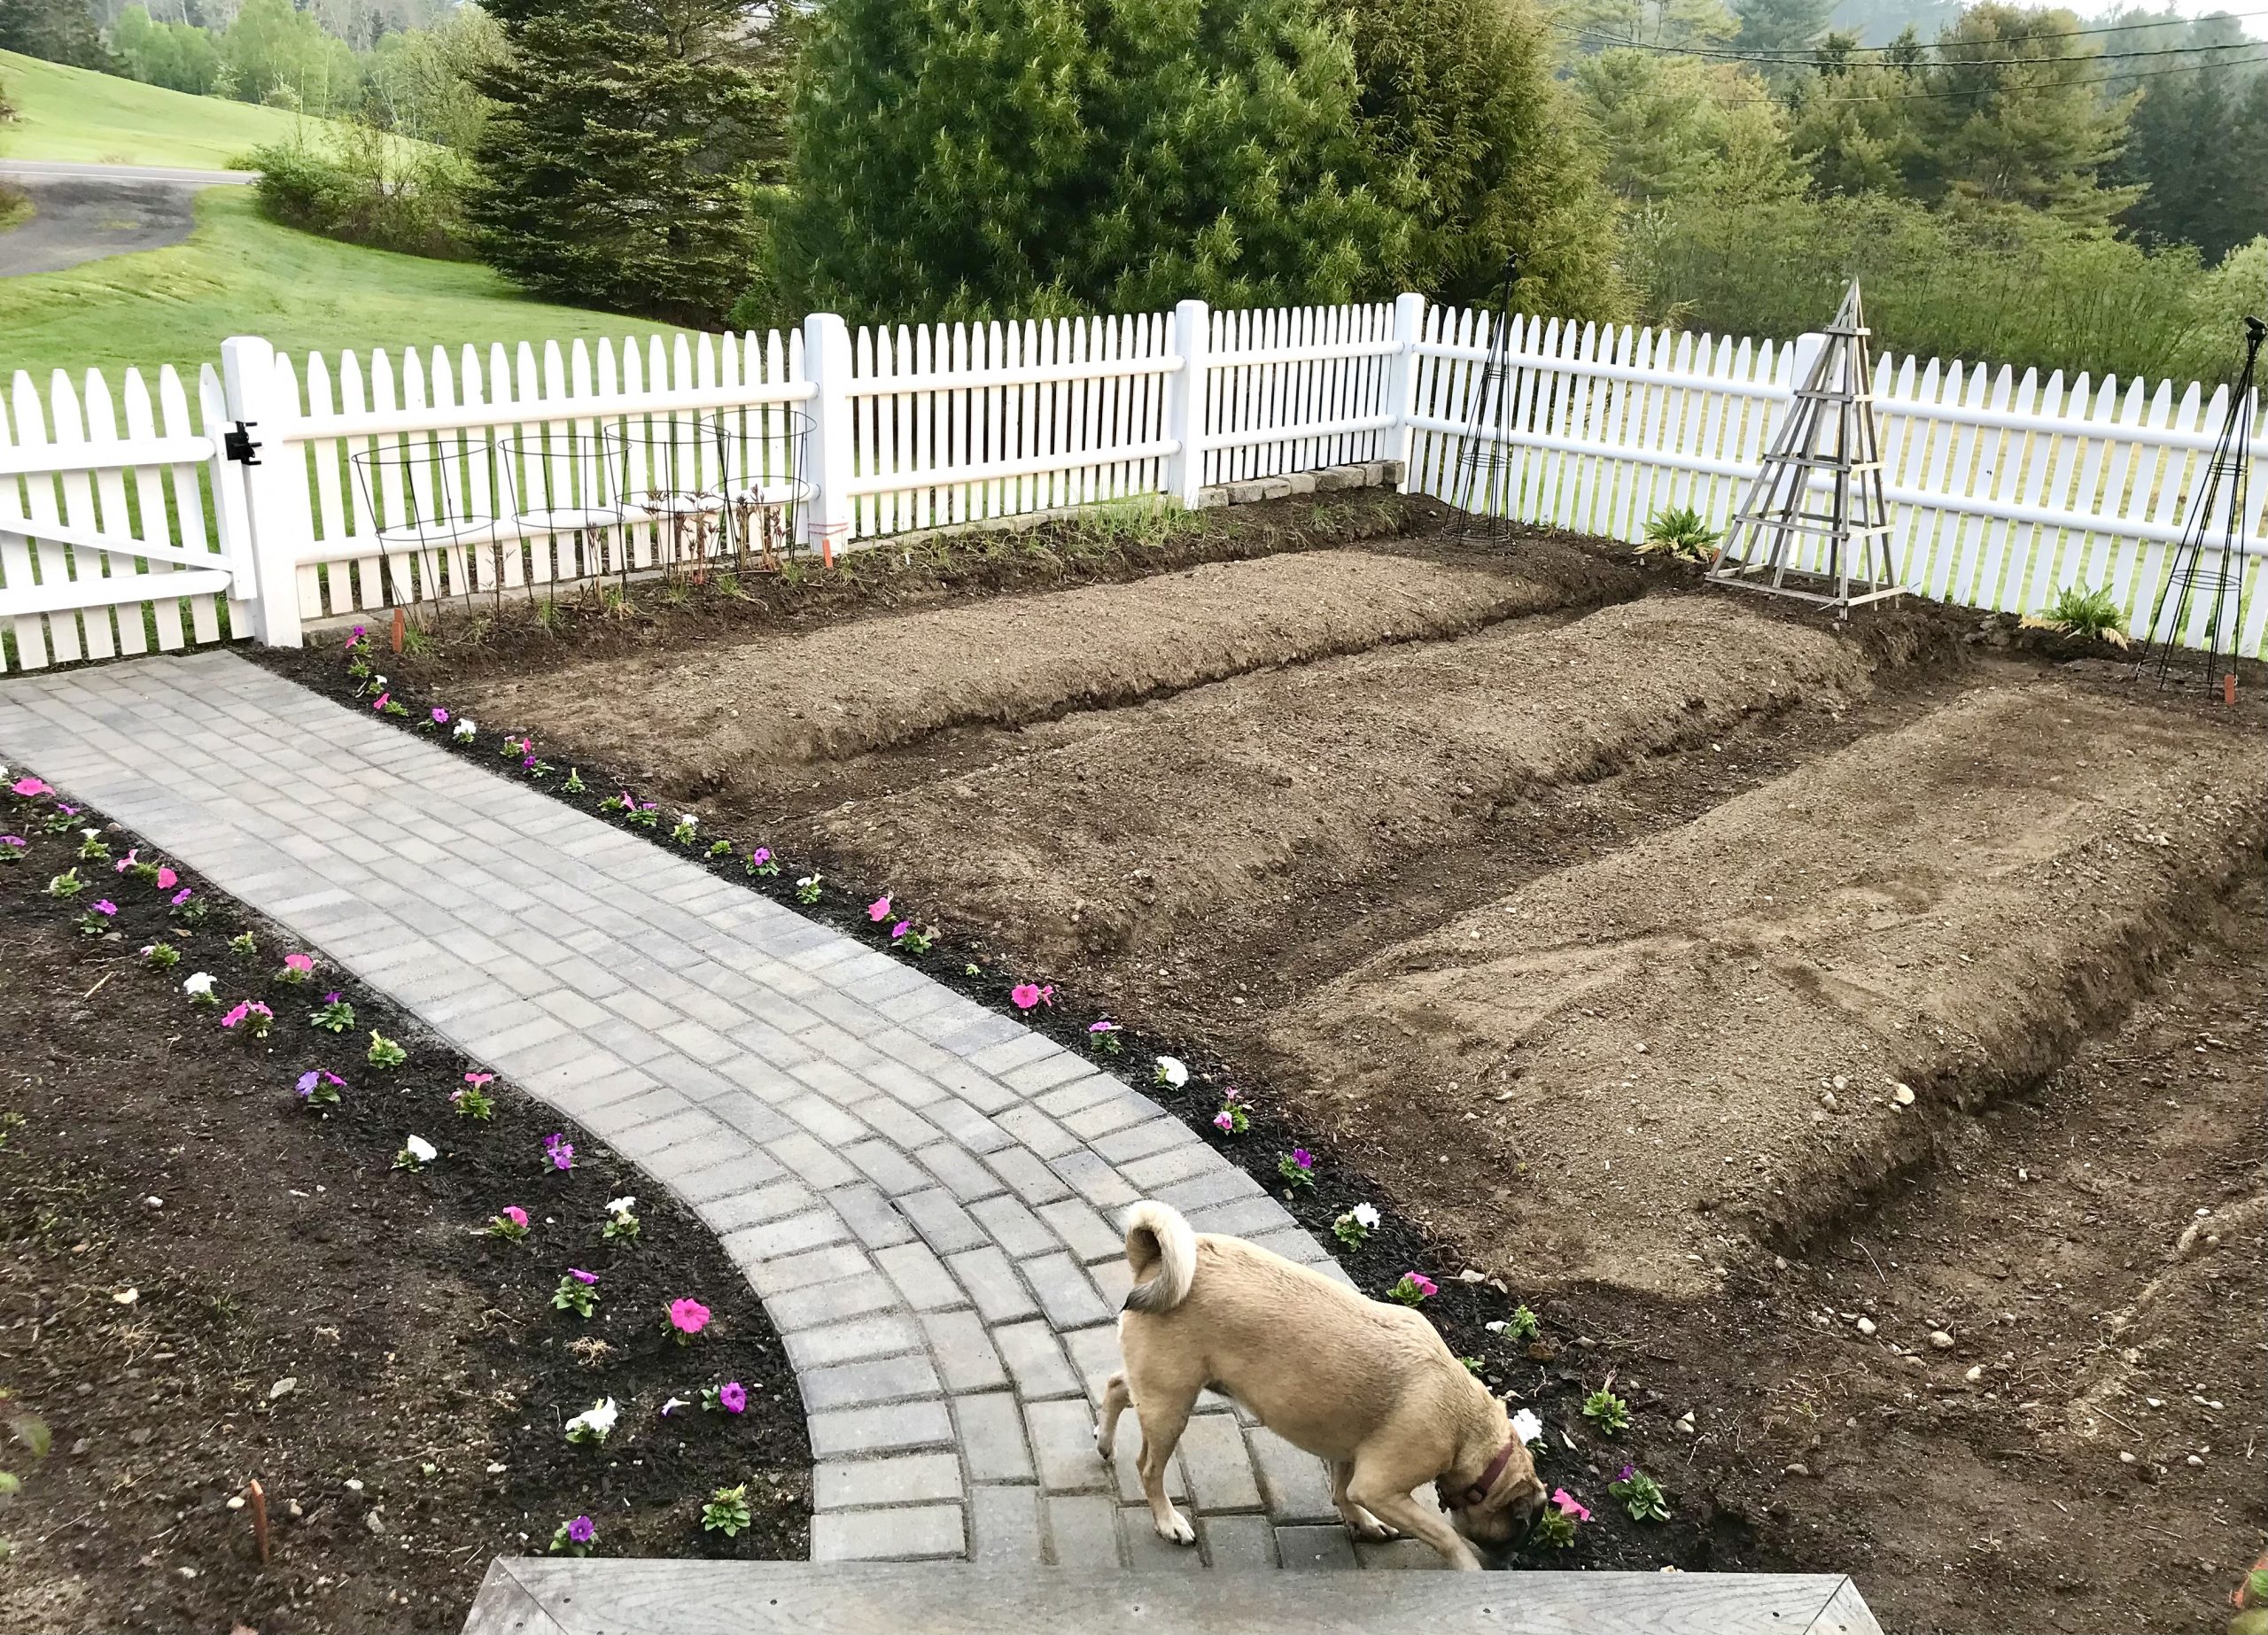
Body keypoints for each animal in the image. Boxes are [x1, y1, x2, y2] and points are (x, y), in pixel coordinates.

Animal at [1092, 1197, 1551, 1569]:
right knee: (1149, 1468)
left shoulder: (1347, 1454)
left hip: (1160, 1388)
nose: (1510, 1562)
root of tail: (1153, 1262)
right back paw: (1167, 1520)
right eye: (1518, 1532)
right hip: (1171, 1407)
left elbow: (1342, 1491)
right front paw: (1466, 1566)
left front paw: (1362, 1522)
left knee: (1117, 1386)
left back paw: (1104, 1441)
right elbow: (1443, 1534)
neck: (1470, 1430)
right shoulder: (1381, 1489)